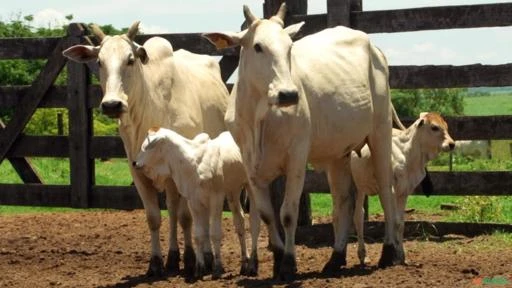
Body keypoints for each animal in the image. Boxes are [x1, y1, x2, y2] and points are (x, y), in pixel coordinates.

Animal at [62, 21, 228, 278]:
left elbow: (184, 217)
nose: (112, 104)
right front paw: (157, 263)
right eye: (99, 61)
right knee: (173, 212)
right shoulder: (137, 173)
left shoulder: (182, 174)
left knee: (189, 212)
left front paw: (190, 259)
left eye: (130, 59)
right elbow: (154, 218)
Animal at [133, 128, 260, 280]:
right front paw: (199, 269)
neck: (194, 163)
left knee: (254, 225)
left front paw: (217, 268)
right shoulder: (193, 201)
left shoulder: (216, 198)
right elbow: (199, 234)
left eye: (147, 147)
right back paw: (244, 264)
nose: (134, 163)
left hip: (250, 186)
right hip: (233, 191)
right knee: (239, 222)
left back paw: (252, 265)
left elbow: (214, 233)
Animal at [204, 3, 404, 280]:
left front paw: (289, 263)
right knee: (343, 201)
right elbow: (267, 215)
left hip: (380, 132)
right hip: (338, 153)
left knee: (387, 192)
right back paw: (336, 257)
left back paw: (388, 252)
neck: (260, 118)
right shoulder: (250, 165)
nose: (288, 94)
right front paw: (278, 260)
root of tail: (373, 48)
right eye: (258, 46)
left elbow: (287, 213)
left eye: (289, 47)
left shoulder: (297, 158)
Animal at [352, 112, 456, 266]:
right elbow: (393, 220)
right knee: (359, 216)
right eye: (434, 127)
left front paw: (401, 255)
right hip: (358, 187)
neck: (408, 154)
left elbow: (400, 223)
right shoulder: (391, 190)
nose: (451, 144)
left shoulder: (404, 192)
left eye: (446, 126)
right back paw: (362, 255)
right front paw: (393, 254)